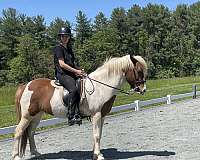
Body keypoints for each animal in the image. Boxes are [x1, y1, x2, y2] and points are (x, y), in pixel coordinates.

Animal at [12, 54, 147, 159]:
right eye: (139, 71)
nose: (143, 90)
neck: (101, 87)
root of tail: (25, 85)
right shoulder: (96, 115)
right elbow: (96, 135)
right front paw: (98, 155)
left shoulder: (102, 116)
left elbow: (99, 134)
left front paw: (95, 154)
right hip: (27, 116)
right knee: (18, 131)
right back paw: (16, 156)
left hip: (36, 116)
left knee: (30, 132)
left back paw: (36, 153)